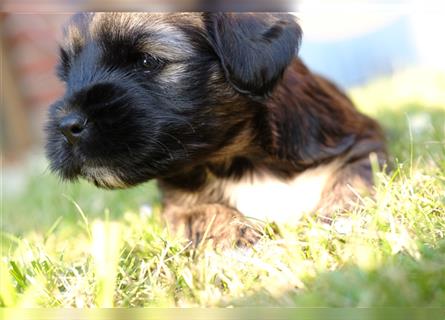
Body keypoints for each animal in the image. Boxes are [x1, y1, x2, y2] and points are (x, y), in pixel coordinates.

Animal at [46, 11, 386, 248]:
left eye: (147, 60)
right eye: (66, 74)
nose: (66, 126)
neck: (240, 160)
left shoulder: (363, 143)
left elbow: (352, 178)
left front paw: (340, 217)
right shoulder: (176, 205)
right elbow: (203, 212)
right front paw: (234, 235)